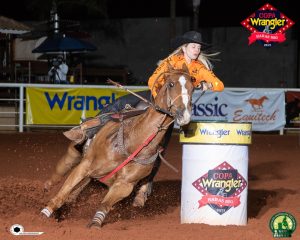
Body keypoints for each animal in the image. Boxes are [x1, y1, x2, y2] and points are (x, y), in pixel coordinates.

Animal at [40, 62, 195, 228]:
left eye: (193, 88)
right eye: (171, 84)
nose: (184, 115)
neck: (132, 142)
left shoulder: (124, 185)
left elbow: (104, 204)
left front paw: (95, 223)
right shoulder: (85, 166)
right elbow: (62, 193)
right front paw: (44, 214)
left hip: (90, 177)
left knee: (76, 191)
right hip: (74, 154)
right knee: (61, 170)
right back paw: (47, 187)